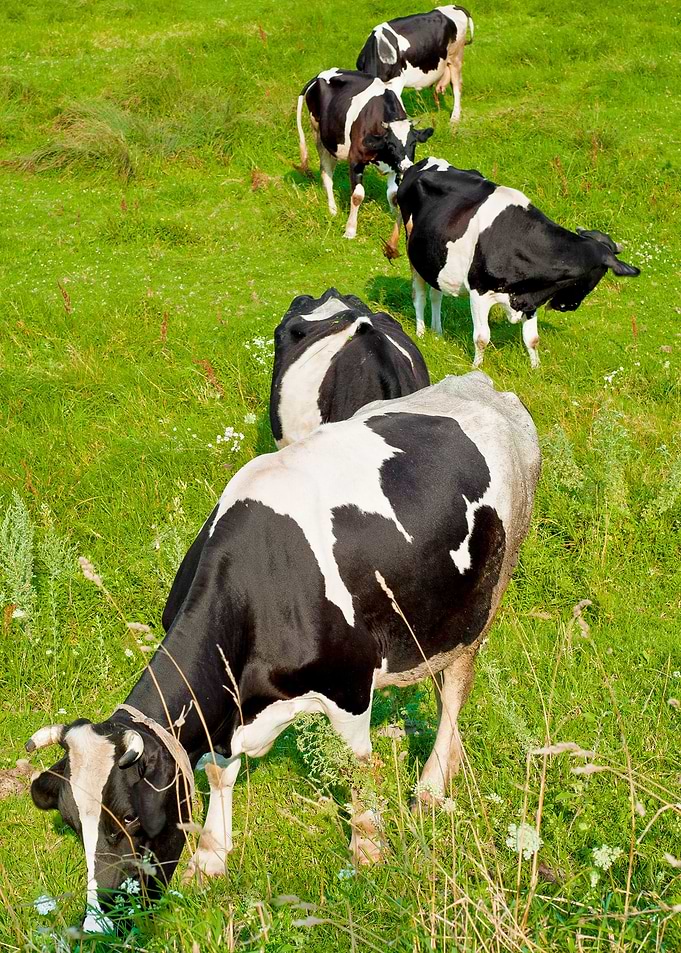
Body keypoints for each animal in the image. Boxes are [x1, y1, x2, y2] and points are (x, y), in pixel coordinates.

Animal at [25, 372, 540, 932]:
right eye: (74, 825)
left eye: (131, 820)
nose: (99, 926)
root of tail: (481, 384)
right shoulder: (225, 707)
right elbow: (216, 771)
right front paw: (209, 858)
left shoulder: (349, 689)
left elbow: (357, 768)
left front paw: (368, 853)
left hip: (482, 602)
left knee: (454, 691)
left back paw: (432, 785)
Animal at [296, 68, 434, 239]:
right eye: (391, 145)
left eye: (413, 143)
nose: (407, 166)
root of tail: (320, 74)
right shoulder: (355, 159)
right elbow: (357, 195)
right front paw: (350, 230)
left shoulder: (395, 165)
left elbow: (393, 194)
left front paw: (394, 218)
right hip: (320, 136)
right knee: (326, 173)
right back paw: (332, 209)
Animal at [383, 157, 640, 367]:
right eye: (597, 276)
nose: (569, 306)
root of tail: (418, 165)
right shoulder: (479, 292)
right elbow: (482, 338)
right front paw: (476, 368)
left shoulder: (530, 297)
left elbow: (532, 339)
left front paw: (536, 369)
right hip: (414, 253)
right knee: (419, 294)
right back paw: (421, 332)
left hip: (436, 260)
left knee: (436, 293)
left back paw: (437, 332)